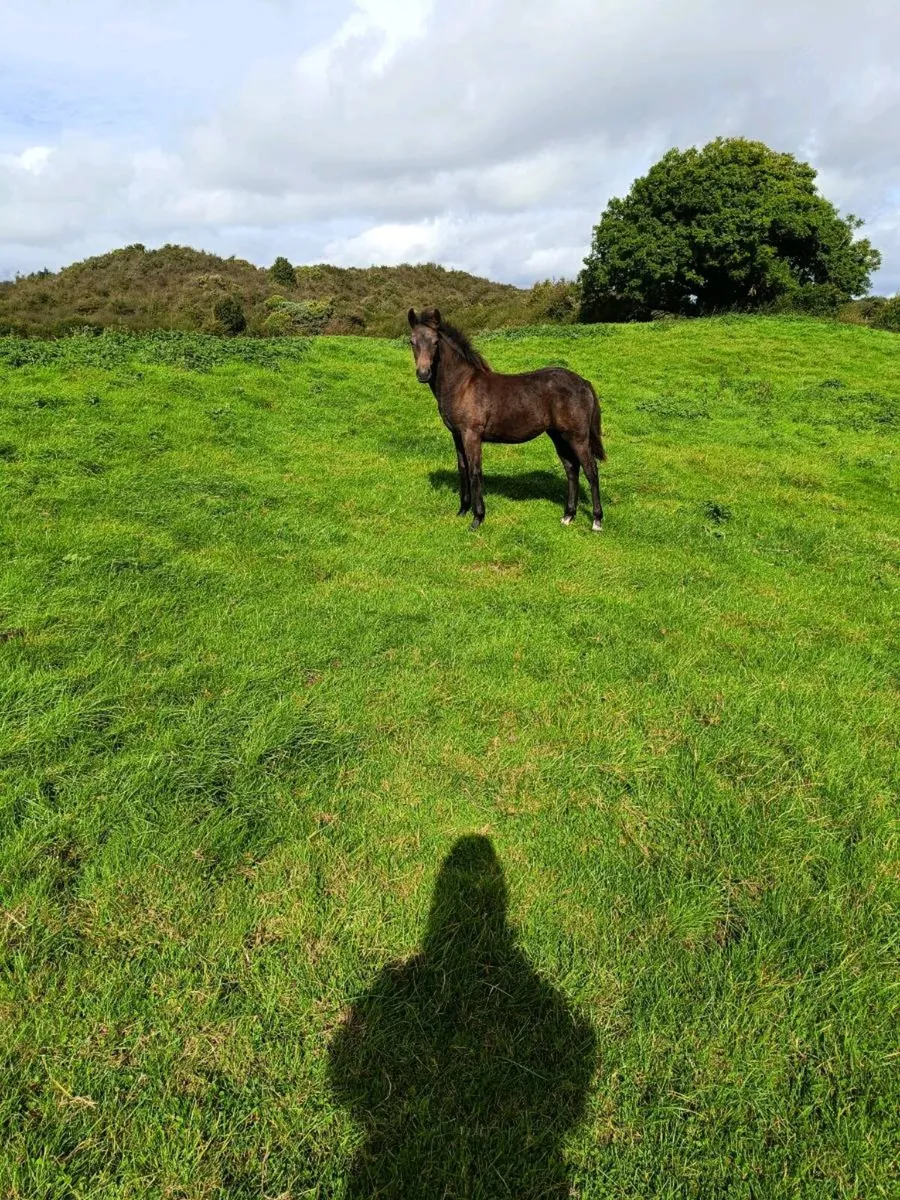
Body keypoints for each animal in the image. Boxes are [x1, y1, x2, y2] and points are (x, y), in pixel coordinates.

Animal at [407, 308, 606, 531]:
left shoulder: (471, 435)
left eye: (435, 342)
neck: (462, 385)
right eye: (411, 341)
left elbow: (475, 471)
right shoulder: (457, 435)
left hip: (577, 437)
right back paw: (568, 516)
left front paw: (477, 519)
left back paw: (596, 521)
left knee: (591, 471)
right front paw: (462, 511)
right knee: (571, 468)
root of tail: (584, 382)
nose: (423, 373)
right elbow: (463, 469)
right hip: (558, 435)